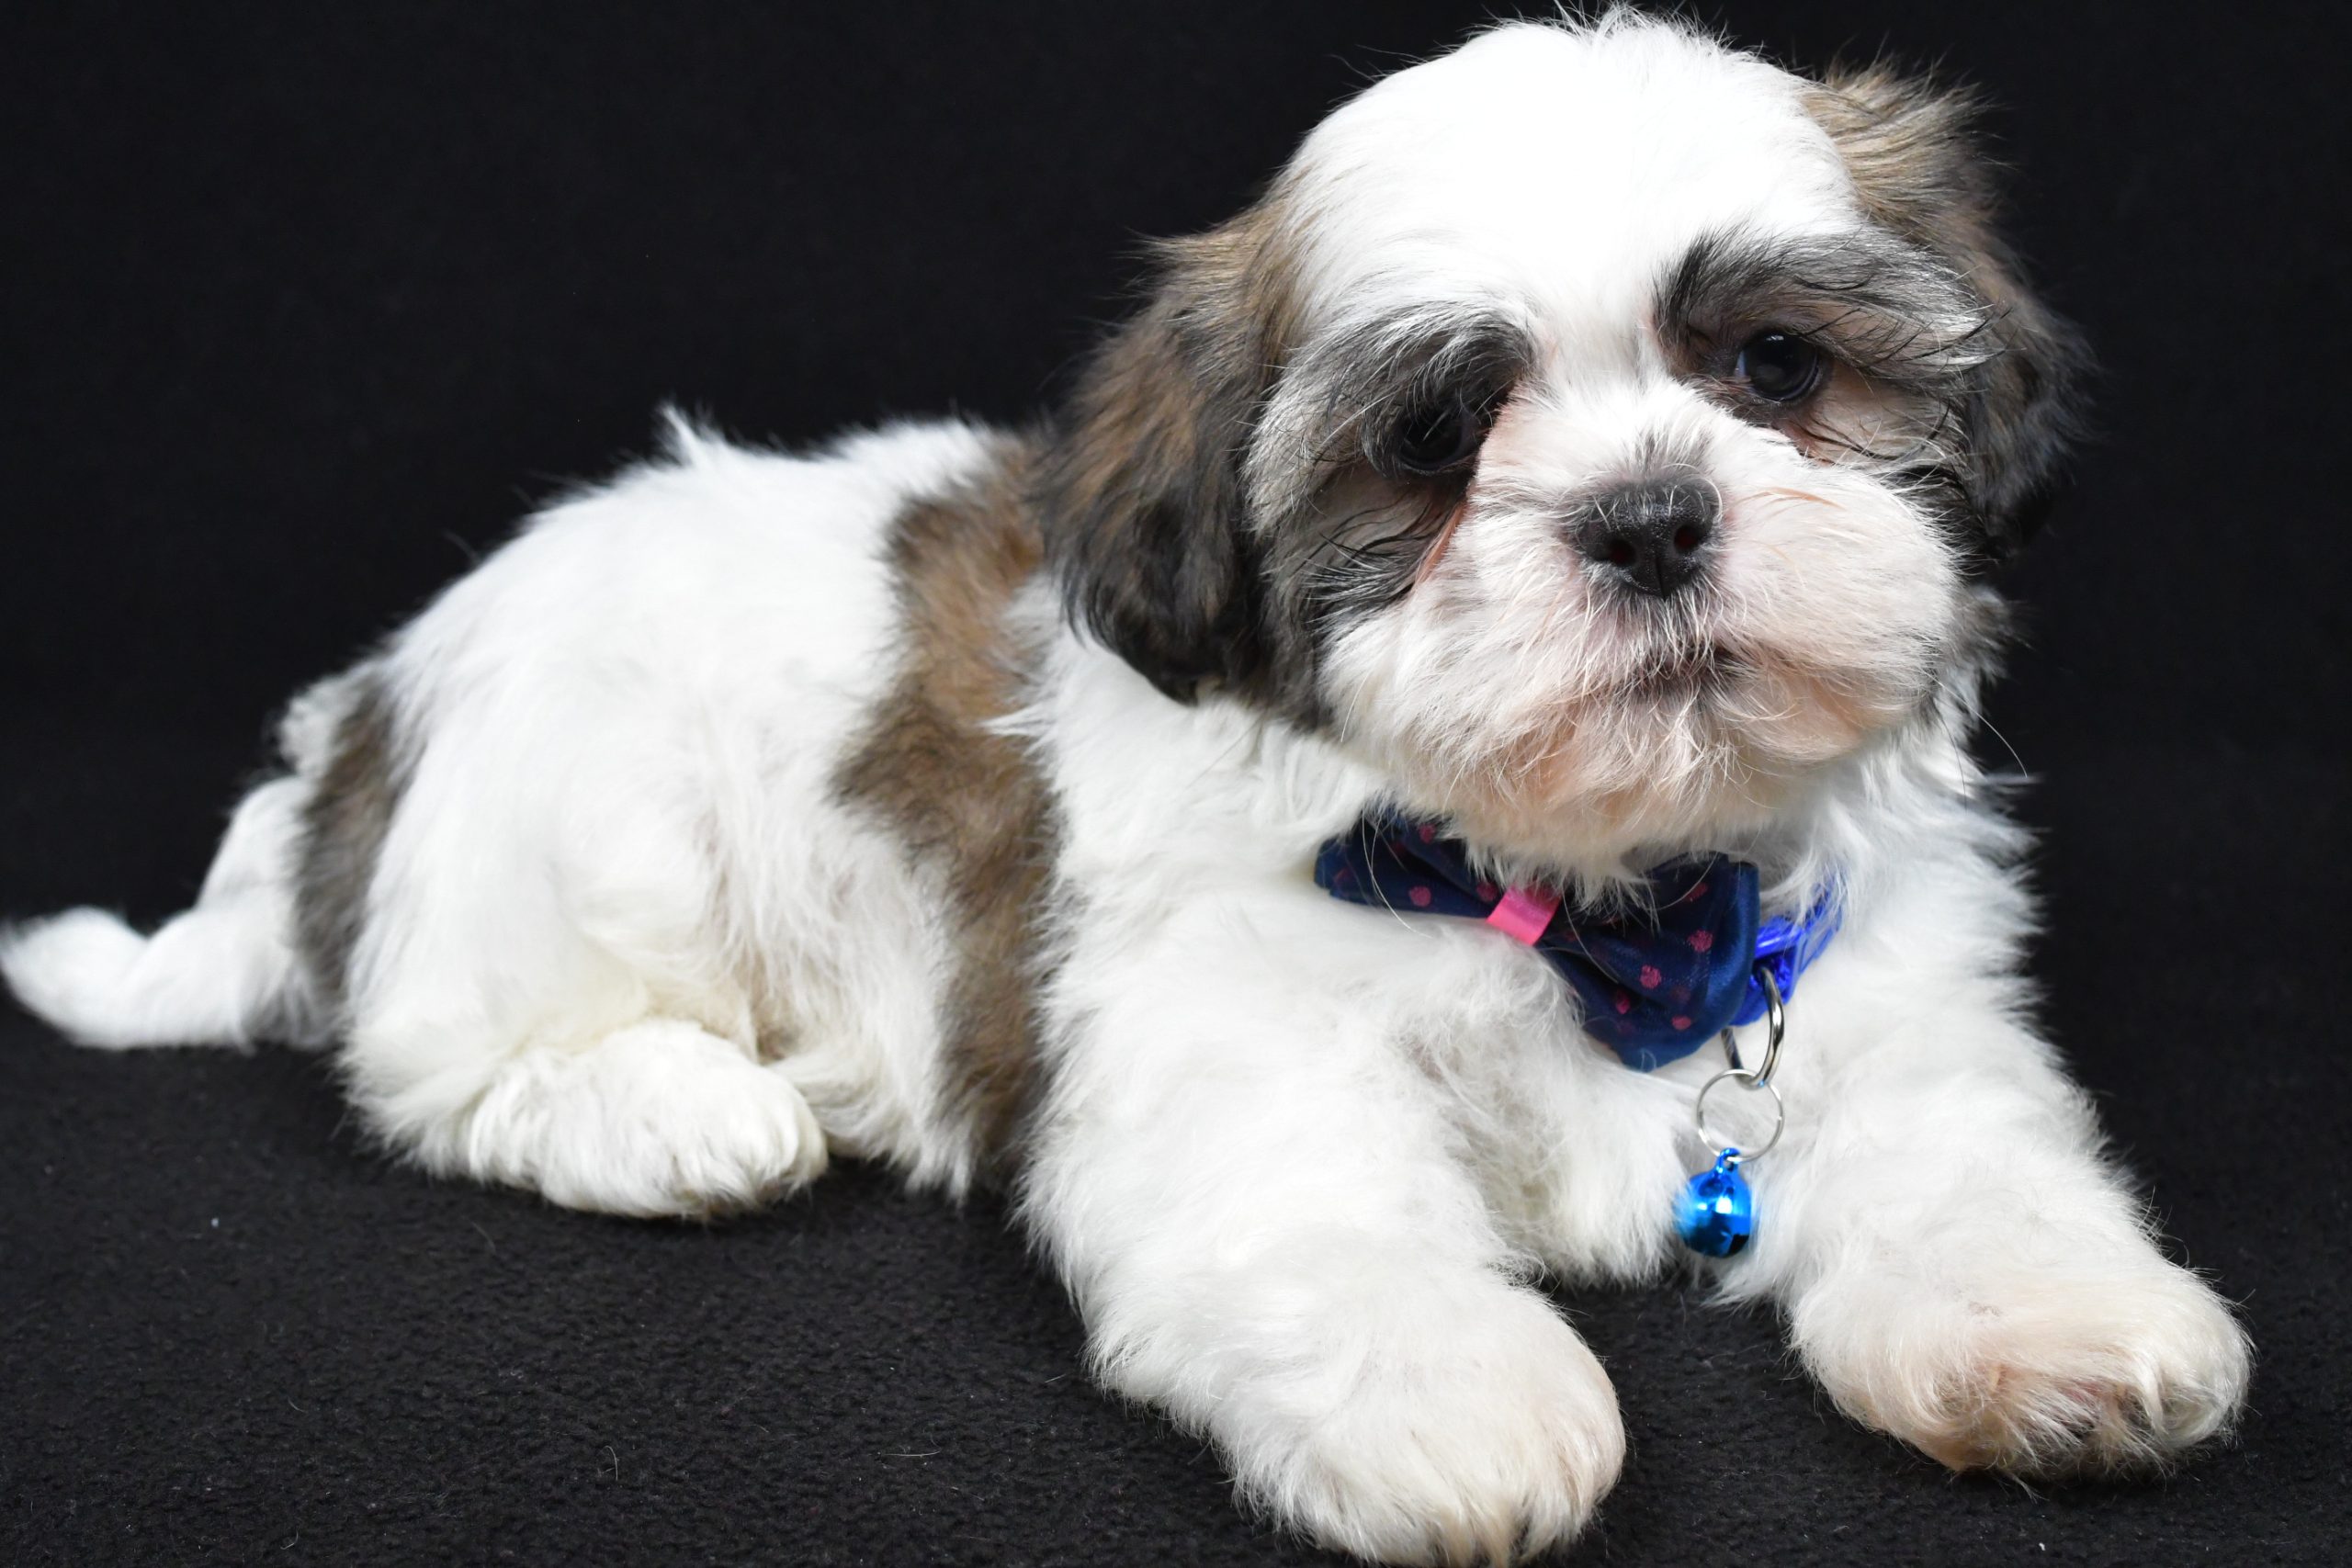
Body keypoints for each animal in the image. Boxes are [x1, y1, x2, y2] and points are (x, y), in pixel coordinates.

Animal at [2, 13, 2251, 1564]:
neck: (1579, 887)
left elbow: (1962, 1152)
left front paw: (2054, 1320)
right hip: (582, 828)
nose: (1646, 517)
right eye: (1435, 439)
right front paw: (1461, 1400)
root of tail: (371, 718)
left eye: (1775, 369)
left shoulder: (1878, 993)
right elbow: (1320, 1215)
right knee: (446, 1062)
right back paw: (688, 1113)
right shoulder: (1220, 1046)